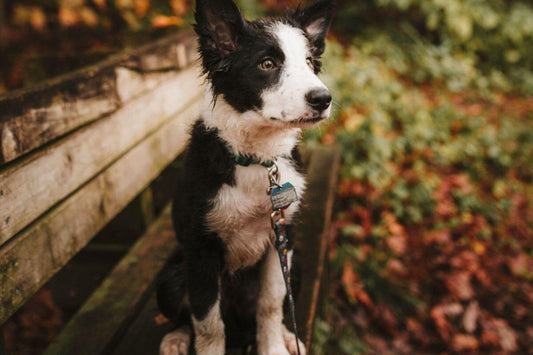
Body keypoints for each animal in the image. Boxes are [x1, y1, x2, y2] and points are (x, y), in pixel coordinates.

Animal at [156, 1, 334, 354]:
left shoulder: (282, 238)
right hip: (170, 276)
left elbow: (271, 304)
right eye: (267, 64)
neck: (255, 160)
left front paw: (274, 347)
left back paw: (288, 336)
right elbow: (207, 322)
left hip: (298, 263)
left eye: (309, 62)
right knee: (184, 316)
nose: (323, 99)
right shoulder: (201, 250)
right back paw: (175, 338)